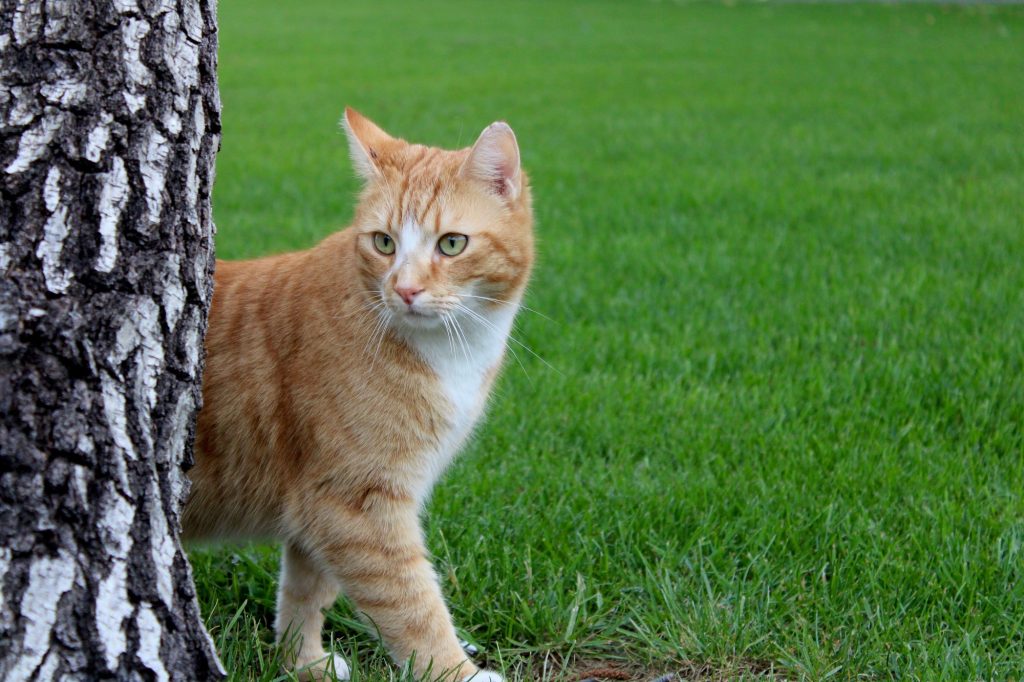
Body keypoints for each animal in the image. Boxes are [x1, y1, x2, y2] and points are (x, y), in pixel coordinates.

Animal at [182, 107, 536, 679]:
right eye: (384, 242)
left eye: (452, 243)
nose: (405, 289)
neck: (449, 351)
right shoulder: (355, 505)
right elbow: (413, 605)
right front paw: (457, 672)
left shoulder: (321, 502)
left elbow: (307, 590)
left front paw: (300, 662)